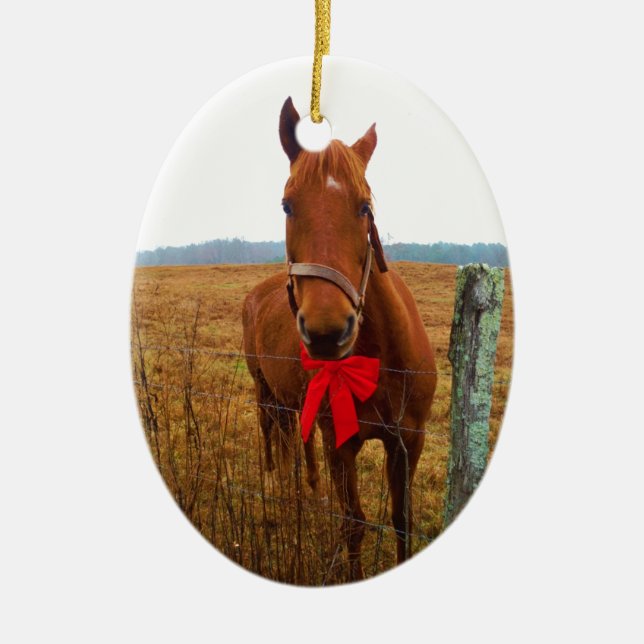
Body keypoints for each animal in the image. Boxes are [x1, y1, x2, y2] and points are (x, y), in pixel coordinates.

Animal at [242, 97, 437, 580]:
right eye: (287, 205)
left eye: (364, 207)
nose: (328, 331)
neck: (381, 360)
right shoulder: (341, 444)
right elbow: (354, 524)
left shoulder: (409, 442)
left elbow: (402, 521)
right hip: (263, 388)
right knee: (270, 430)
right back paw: (276, 484)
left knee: (296, 435)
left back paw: (309, 487)